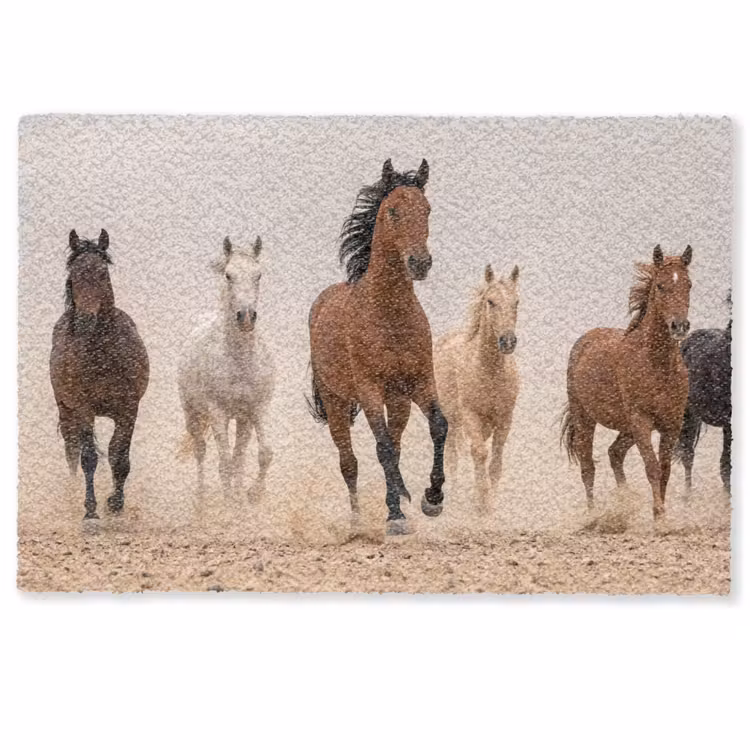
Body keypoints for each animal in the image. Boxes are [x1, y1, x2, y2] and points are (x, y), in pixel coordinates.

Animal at [49, 229, 150, 520]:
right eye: (73, 275)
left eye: (103, 273)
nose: (85, 321)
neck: (103, 354)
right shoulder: (83, 408)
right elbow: (89, 458)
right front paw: (91, 511)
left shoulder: (128, 408)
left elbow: (119, 455)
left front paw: (115, 503)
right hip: (65, 409)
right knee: (72, 450)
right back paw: (72, 497)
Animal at [178, 236, 275, 502]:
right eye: (228, 275)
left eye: (258, 275)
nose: (246, 317)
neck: (239, 361)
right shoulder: (217, 412)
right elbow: (224, 464)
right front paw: (229, 503)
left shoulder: (257, 409)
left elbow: (263, 454)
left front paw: (252, 495)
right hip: (193, 413)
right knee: (201, 450)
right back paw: (202, 498)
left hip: (242, 420)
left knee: (239, 454)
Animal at [307, 158, 447, 536]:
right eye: (393, 211)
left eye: (427, 209)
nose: (420, 263)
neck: (389, 316)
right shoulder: (369, 389)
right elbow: (381, 448)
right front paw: (397, 515)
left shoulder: (419, 383)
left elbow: (439, 426)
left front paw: (432, 499)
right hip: (337, 402)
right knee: (350, 462)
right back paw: (358, 521)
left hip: (398, 401)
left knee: (394, 446)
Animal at [434, 263, 520, 512]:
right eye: (490, 301)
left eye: (516, 302)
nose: (508, 341)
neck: (489, 372)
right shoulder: (471, 415)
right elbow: (479, 453)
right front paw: (481, 500)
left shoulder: (504, 418)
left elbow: (496, 460)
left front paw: (491, 501)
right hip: (451, 419)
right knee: (452, 457)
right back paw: (454, 494)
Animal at [561, 244, 693, 519]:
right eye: (660, 286)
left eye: (688, 284)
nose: (679, 326)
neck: (657, 364)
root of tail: (585, 340)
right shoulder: (641, 420)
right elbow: (652, 467)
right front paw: (658, 515)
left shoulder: (671, 424)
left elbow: (665, 470)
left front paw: (660, 514)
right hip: (585, 418)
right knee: (588, 467)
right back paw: (592, 514)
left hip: (626, 427)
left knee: (615, 453)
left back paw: (624, 502)